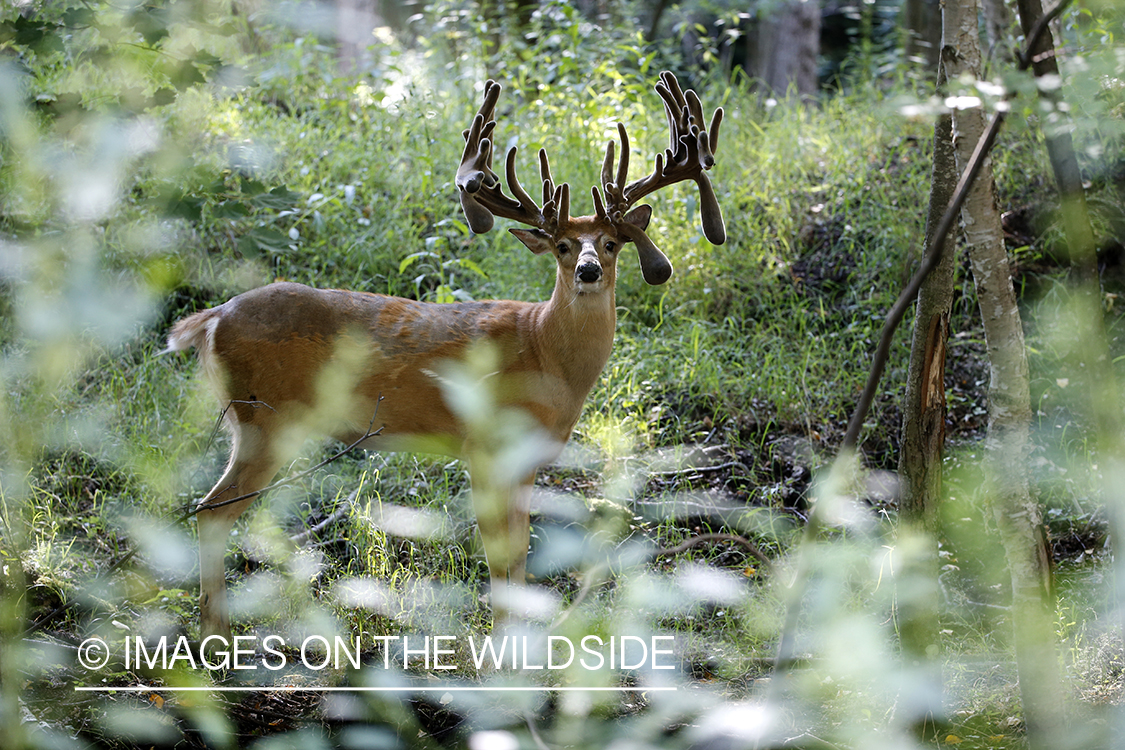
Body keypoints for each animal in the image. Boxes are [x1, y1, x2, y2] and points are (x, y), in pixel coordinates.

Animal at [169, 73, 724, 643]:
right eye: (563, 246)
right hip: (266, 418)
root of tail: (212, 318)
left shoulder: (526, 461)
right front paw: (500, 647)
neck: (546, 356)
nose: (588, 271)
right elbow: (499, 554)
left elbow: (519, 554)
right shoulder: (484, 446)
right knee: (212, 511)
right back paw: (216, 635)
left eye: (612, 243)